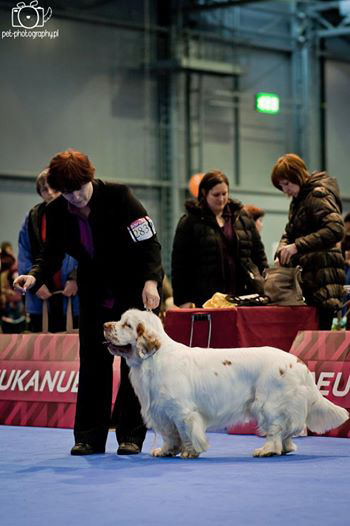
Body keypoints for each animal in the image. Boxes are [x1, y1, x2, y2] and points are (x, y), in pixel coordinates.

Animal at [103, 310, 348, 458]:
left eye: (127, 325)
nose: (105, 325)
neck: (154, 357)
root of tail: (297, 361)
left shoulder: (182, 411)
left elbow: (185, 432)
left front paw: (189, 452)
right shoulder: (162, 411)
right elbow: (170, 435)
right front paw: (165, 451)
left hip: (269, 405)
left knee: (276, 430)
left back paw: (266, 450)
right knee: (287, 433)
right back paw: (285, 449)